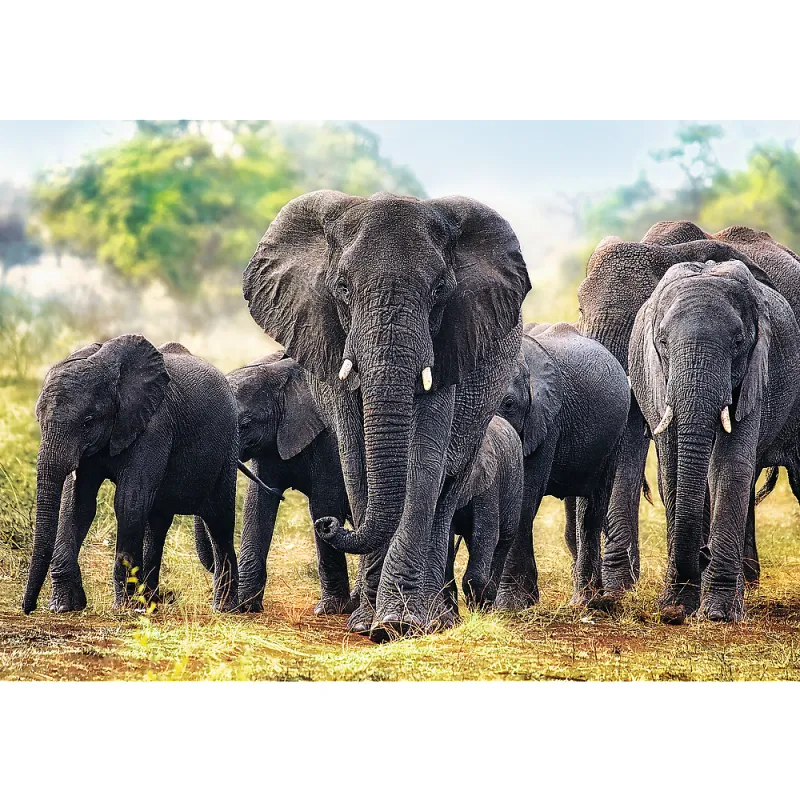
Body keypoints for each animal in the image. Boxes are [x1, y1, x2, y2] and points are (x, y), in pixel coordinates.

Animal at [22, 337, 240, 614]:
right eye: (38, 419)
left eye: (88, 422)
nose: (28, 608)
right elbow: (78, 505)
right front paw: (64, 606)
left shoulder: (155, 426)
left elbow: (129, 502)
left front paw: (123, 607)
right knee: (157, 523)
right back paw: (151, 602)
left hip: (228, 449)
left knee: (219, 520)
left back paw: (225, 607)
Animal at [194, 350, 356, 615]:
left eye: (245, 424)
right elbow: (258, 503)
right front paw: (246, 605)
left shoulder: (331, 441)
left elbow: (324, 505)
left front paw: (329, 609)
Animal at [450, 415, 523, 611]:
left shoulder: (489, 481)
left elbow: (487, 533)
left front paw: (479, 606)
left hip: (515, 484)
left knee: (504, 538)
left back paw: (488, 603)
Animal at [491, 322, 631, 608]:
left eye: (509, 404)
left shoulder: (546, 421)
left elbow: (524, 498)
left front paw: (512, 606)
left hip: (615, 438)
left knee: (591, 513)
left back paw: (585, 602)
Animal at [629, 260, 800, 623]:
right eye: (662, 341)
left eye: (738, 341)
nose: (703, 553)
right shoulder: (657, 383)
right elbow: (673, 472)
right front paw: (675, 607)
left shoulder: (755, 375)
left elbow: (727, 467)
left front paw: (719, 614)